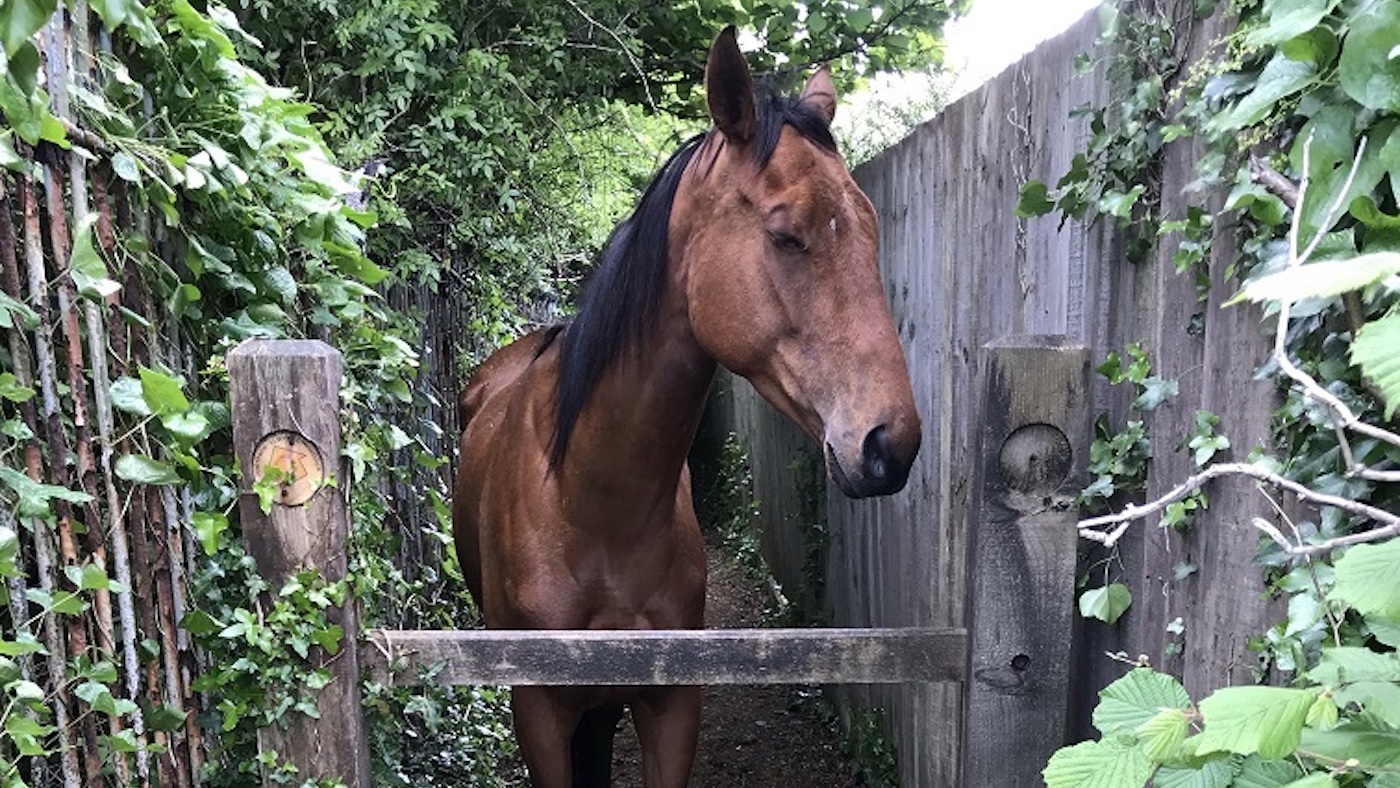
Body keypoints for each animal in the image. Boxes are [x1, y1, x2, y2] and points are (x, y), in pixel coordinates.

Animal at [452, 27, 921, 788]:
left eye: (870, 228)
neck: (589, 504)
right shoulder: (538, 713)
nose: (890, 442)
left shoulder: (671, 703)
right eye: (786, 234)